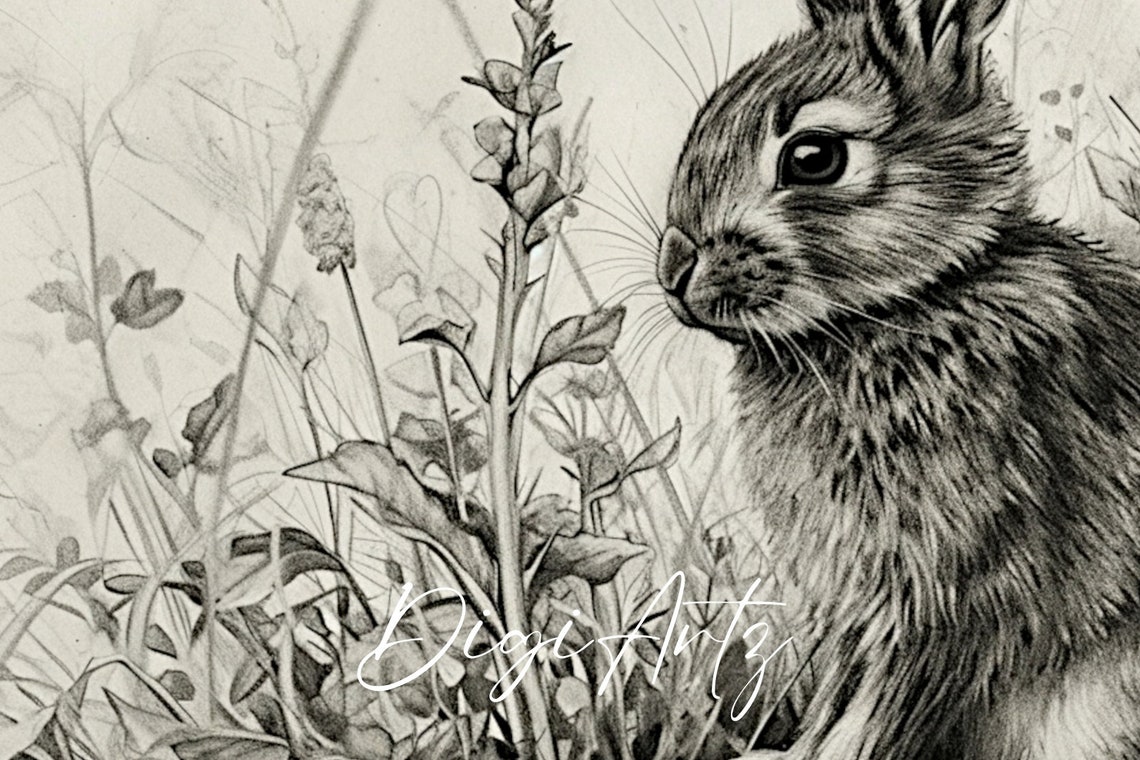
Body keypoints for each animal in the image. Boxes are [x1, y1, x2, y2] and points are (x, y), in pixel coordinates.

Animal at [656, 0, 1140, 758]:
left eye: (813, 158)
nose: (674, 269)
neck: (916, 302)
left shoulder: (957, 591)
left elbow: (879, 715)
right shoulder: (859, 610)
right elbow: (838, 697)